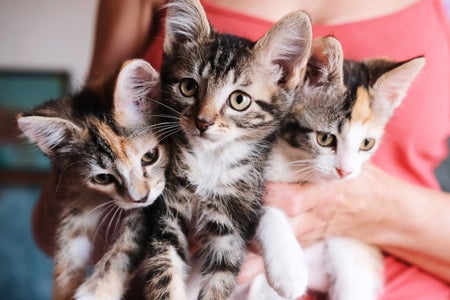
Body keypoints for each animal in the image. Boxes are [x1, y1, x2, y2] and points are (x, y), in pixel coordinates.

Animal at [17, 58, 169, 300]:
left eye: (150, 156)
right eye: (103, 178)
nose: (140, 197)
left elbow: (128, 244)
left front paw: (96, 291)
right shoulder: (76, 189)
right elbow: (69, 238)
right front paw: (64, 288)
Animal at [141, 0, 312, 300]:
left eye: (239, 100)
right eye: (188, 87)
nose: (202, 122)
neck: (211, 161)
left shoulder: (232, 225)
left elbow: (220, 280)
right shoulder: (167, 212)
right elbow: (164, 270)